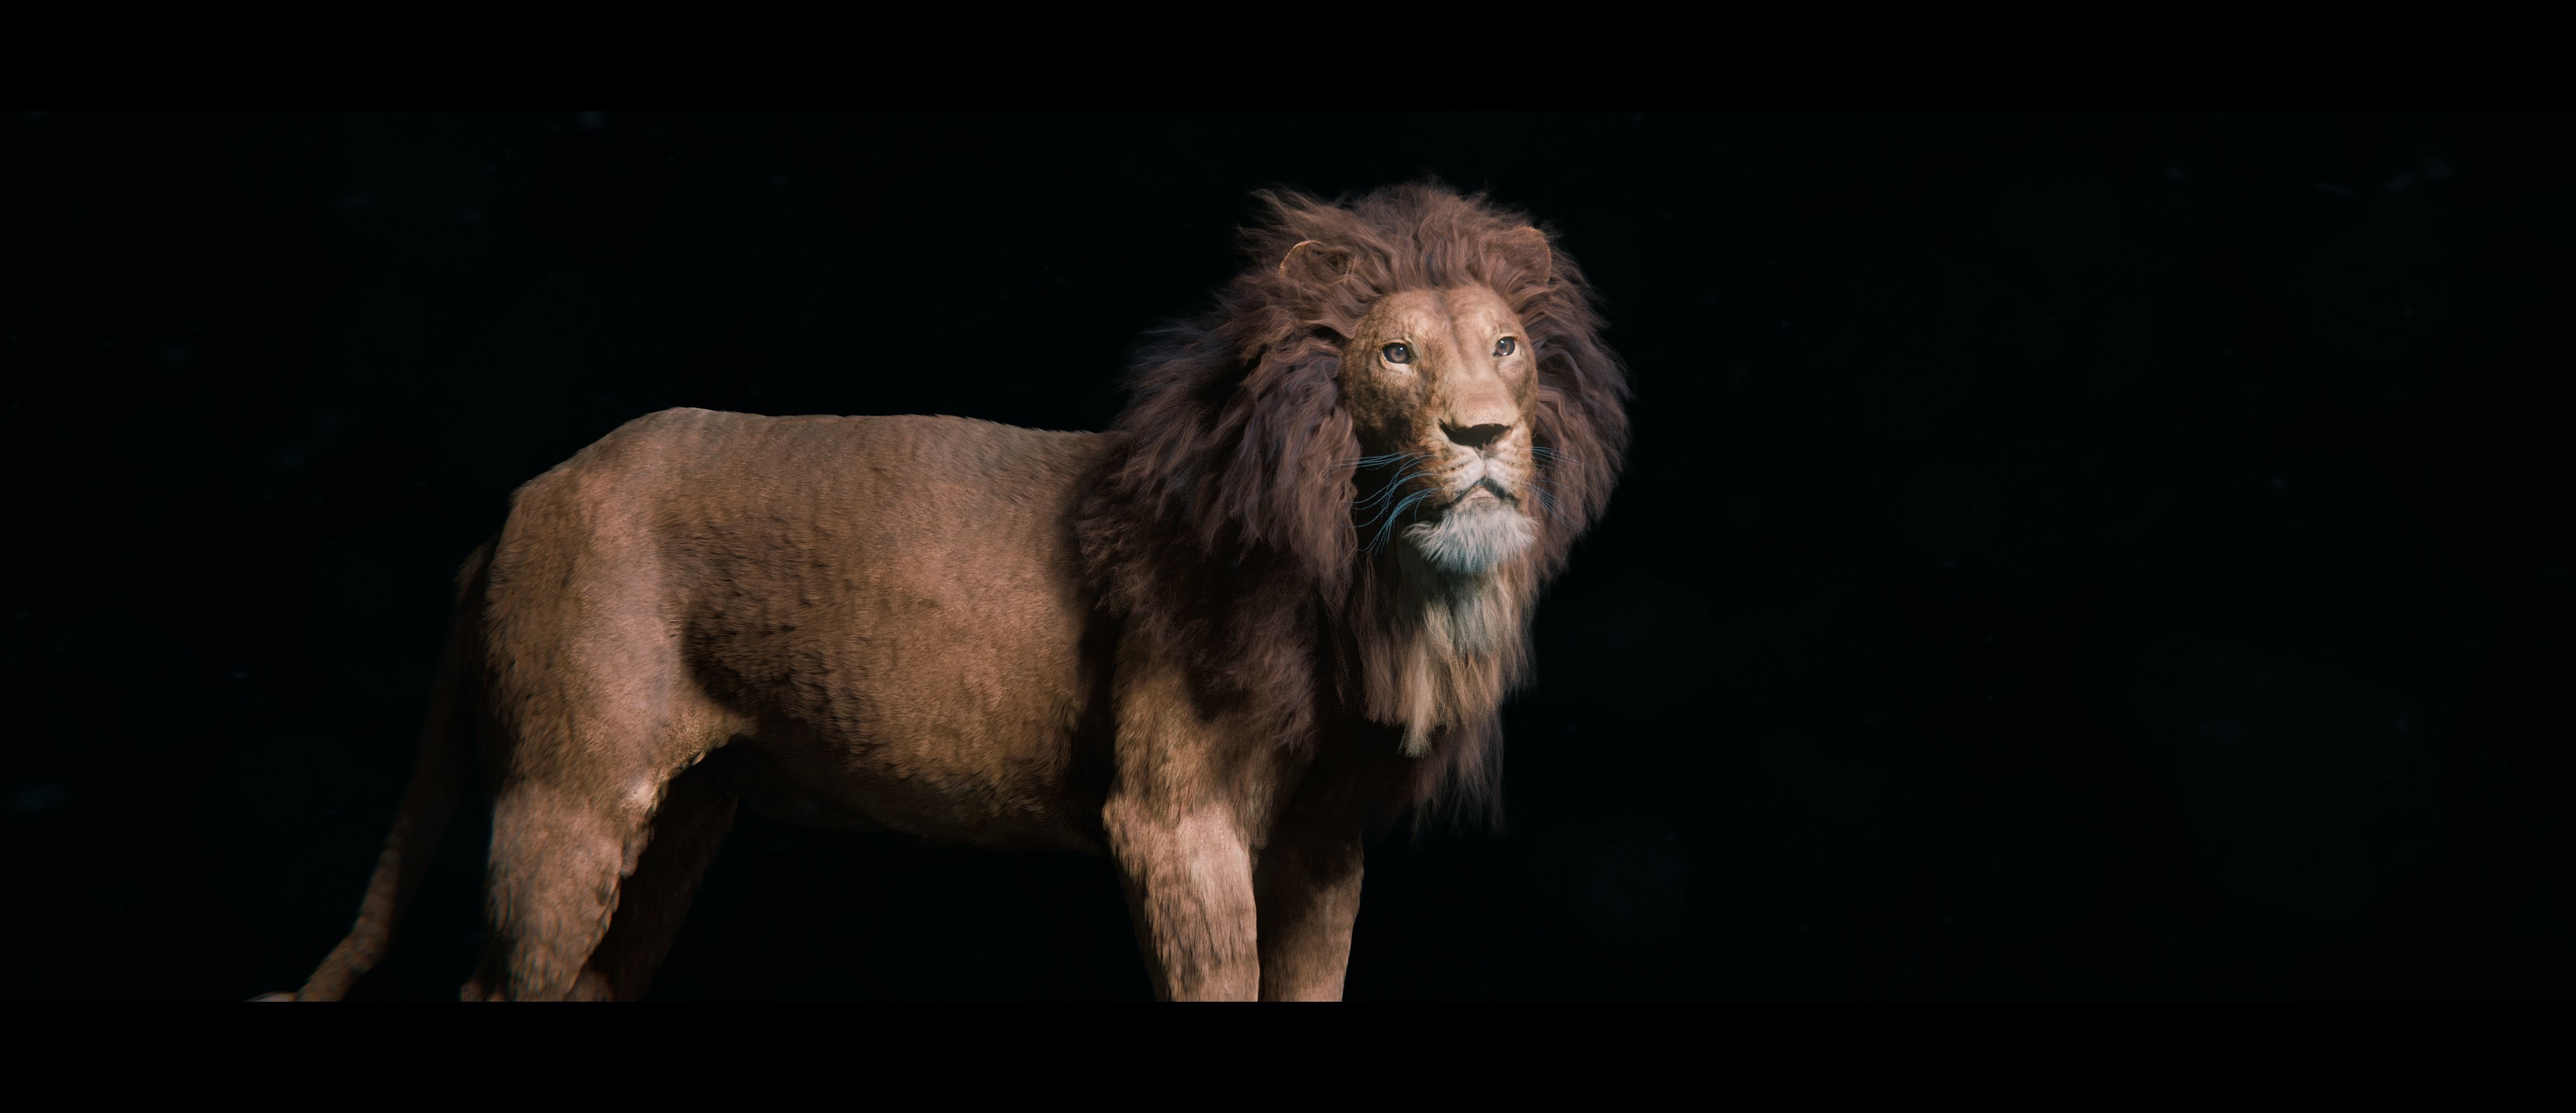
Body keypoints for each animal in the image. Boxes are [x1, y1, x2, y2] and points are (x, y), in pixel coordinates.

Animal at [260, 182, 1630, 1001]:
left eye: (1506, 346)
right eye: (1395, 353)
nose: (1484, 433)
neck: (1357, 570)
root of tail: (523, 501)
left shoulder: (1322, 842)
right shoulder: (1172, 820)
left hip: (682, 819)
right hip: (571, 799)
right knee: (501, 983)